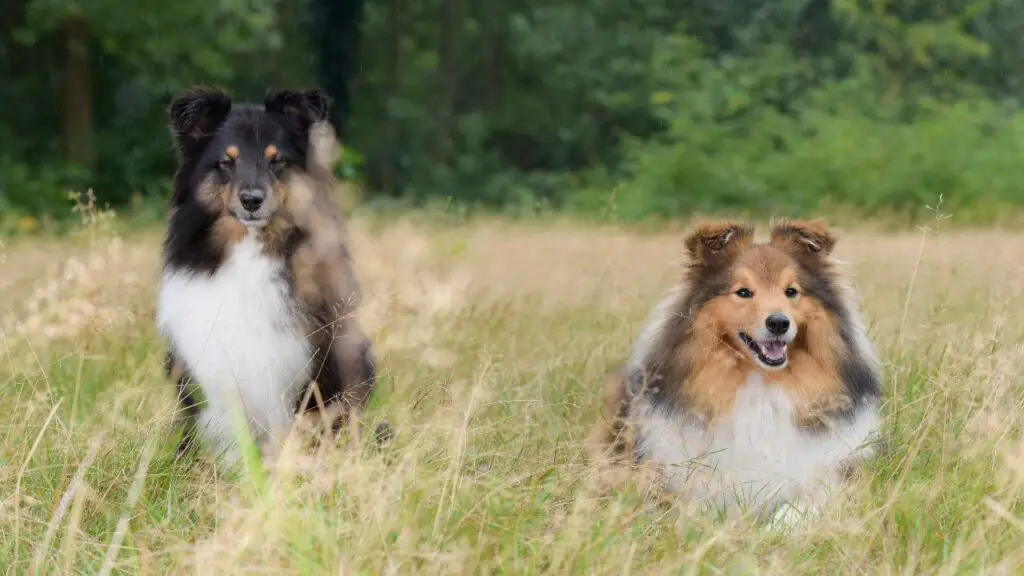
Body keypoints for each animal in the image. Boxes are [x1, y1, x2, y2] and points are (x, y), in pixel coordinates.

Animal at [593, 218, 888, 524]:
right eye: (743, 292)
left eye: (791, 291)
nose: (779, 323)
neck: (760, 380)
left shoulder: (834, 477)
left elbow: (797, 509)